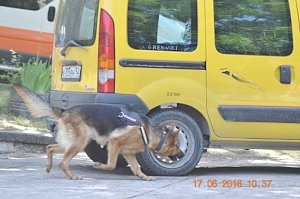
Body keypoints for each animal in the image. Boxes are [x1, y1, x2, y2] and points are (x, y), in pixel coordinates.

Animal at [13, 84, 183, 180]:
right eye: (177, 146)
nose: (182, 154)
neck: (150, 132)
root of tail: (65, 112)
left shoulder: (128, 153)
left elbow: (136, 168)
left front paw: (144, 177)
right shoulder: (114, 144)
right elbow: (111, 165)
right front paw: (98, 166)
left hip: (71, 142)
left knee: (50, 148)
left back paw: (49, 167)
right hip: (79, 143)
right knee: (63, 162)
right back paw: (72, 176)